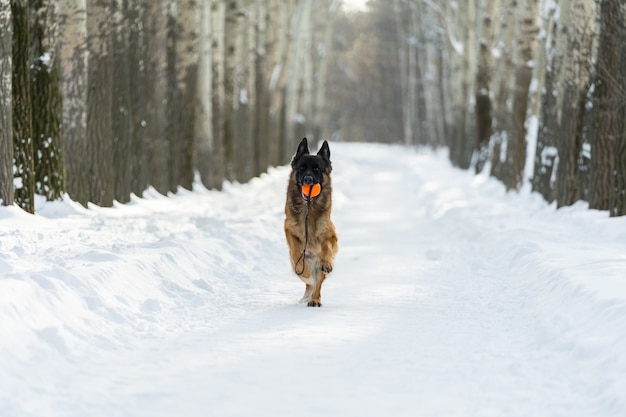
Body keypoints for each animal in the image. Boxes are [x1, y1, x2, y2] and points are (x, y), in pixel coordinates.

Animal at [286, 138, 338, 304]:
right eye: (302, 168)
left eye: (316, 169)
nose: (308, 180)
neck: (309, 209)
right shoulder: (289, 231)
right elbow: (296, 250)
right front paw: (303, 269)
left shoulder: (331, 236)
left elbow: (326, 247)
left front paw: (326, 263)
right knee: (309, 281)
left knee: (317, 284)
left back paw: (314, 300)